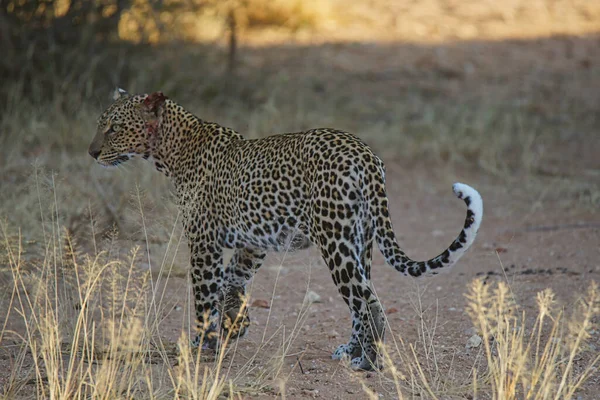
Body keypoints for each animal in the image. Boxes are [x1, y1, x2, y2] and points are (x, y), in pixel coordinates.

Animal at [88, 89, 482, 370]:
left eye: (113, 128)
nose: (91, 153)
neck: (172, 150)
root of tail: (365, 154)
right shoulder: (252, 243)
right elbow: (231, 281)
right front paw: (236, 323)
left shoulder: (203, 241)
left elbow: (204, 294)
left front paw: (202, 346)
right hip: (361, 240)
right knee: (362, 299)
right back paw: (350, 350)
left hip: (335, 240)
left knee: (368, 302)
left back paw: (367, 362)